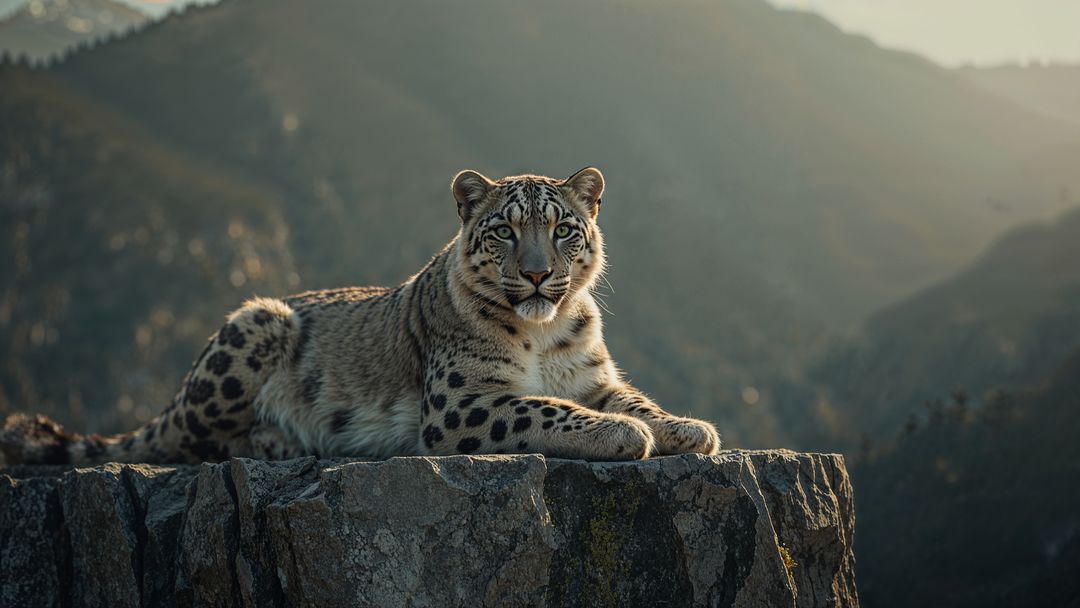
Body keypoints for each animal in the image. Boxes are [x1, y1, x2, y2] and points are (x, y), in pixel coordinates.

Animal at [1, 167, 720, 465]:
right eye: (505, 231)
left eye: (563, 228)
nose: (540, 274)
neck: (545, 332)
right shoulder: (466, 402)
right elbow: (545, 409)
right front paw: (623, 435)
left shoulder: (594, 376)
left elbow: (631, 399)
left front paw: (688, 427)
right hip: (254, 326)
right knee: (183, 443)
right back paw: (278, 440)